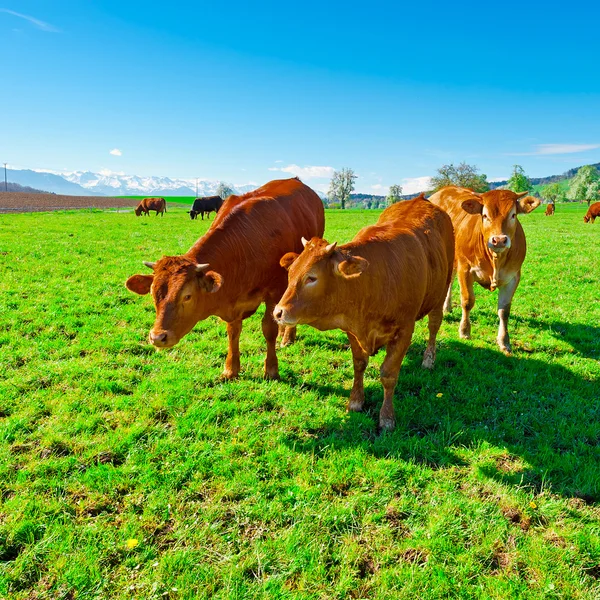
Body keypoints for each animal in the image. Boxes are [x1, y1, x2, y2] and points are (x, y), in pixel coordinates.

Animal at [124, 176, 326, 380]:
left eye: (187, 296)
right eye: (153, 294)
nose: (157, 337)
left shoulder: (274, 291)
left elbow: (269, 329)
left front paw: (271, 369)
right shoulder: (233, 302)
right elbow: (233, 332)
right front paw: (231, 369)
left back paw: (287, 337)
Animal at [270, 197, 450, 432]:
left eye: (312, 277)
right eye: (290, 273)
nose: (278, 312)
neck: (373, 280)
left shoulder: (404, 330)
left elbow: (389, 374)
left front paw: (387, 417)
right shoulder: (352, 330)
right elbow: (359, 364)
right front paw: (355, 401)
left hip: (441, 291)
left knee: (434, 326)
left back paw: (429, 359)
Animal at [428, 186, 540, 356]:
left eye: (513, 215)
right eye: (485, 215)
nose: (499, 240)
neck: (495, 260)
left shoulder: (513, 277)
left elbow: (504, 310)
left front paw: (504, 341)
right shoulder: (465, 268)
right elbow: (467, 301)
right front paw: (465, 331)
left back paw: (446, 307)